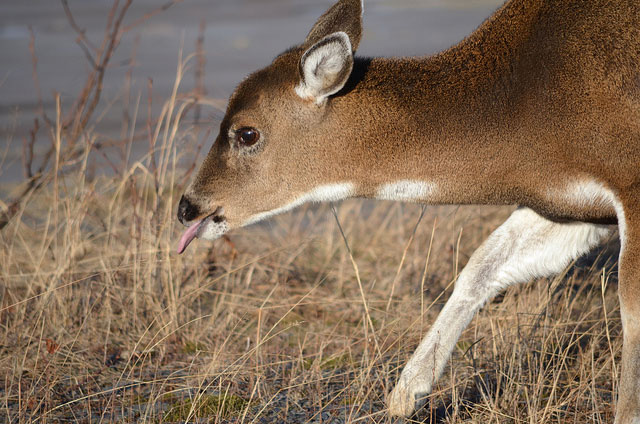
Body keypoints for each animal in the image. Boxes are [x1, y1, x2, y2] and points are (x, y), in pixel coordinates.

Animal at [178, 0, 640, 420]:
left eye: (247, 133)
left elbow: (630, 309)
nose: (187, 207)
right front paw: (405, 396)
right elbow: (484, 265)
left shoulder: (630, 185)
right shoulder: (574, 205)